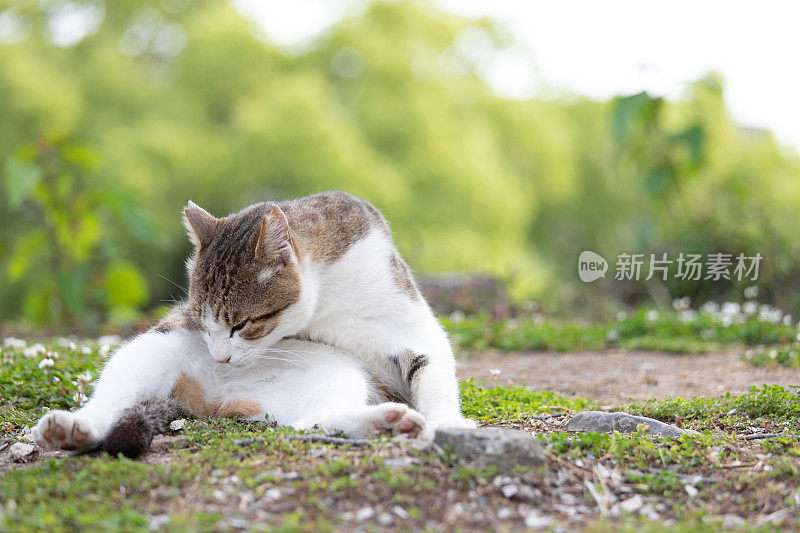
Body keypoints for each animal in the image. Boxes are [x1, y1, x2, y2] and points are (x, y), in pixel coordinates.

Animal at [32, 189, 476, 456]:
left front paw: (448, 424)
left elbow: (434, 378)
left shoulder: (412, 327)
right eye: (203, 322)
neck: (324, 306)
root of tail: (212, 399)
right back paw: (71, 428)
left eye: (241, 324)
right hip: (151, 350)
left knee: (310, 422)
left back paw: (385, 423)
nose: (221, 358)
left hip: (335, 378)